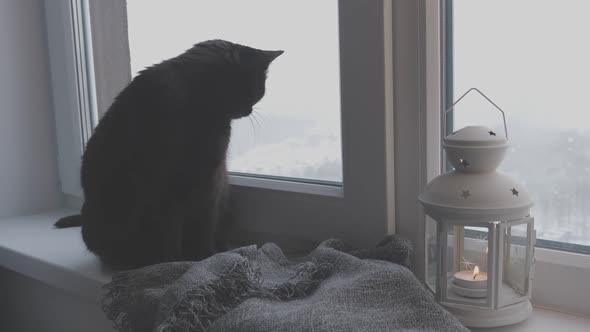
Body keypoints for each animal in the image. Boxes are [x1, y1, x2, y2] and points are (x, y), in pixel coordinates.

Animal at [55, 39, 284, 268]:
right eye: (256, 91)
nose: (249, 110)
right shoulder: (164, 185)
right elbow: (170, 231)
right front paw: (172, 264)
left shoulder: (209, 179)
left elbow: (203, 223)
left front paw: (203, 255)